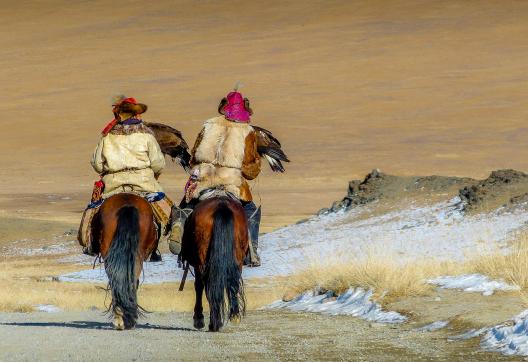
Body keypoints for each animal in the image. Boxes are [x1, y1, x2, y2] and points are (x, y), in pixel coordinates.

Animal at [180, 197, 249, 332]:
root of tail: (222, 205)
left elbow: (199, 287)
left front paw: (199, 319)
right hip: (237, 257)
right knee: (232, 282)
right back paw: (231, 317)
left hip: (202, 259)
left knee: (207, 285)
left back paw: (213, 323)